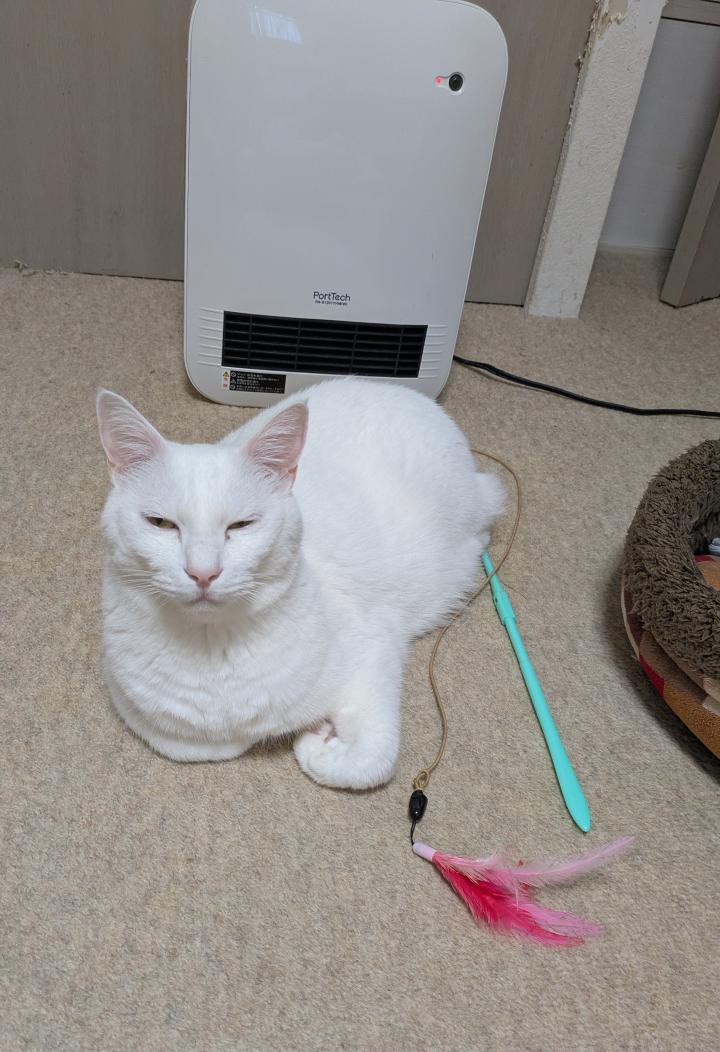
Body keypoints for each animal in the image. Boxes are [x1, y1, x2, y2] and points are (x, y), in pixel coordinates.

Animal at [97, 377, 503, 789]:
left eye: (242, 525)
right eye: (161, 524)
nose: (203, 572)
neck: (212, 650)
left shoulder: (377, 647)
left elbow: (374, 760)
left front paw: (316, 743)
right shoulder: (131, 700)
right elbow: (196, 745)